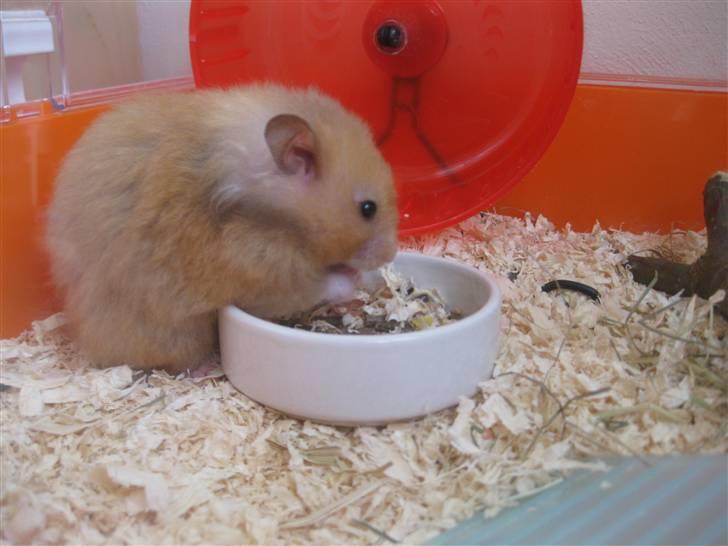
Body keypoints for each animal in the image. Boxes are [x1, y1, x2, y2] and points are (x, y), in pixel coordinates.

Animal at [45, 83, 399, 373]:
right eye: (368, 209)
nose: (391, 254)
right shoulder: (260, 272)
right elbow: (319, 284)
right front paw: (352, 279)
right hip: (174, 331)